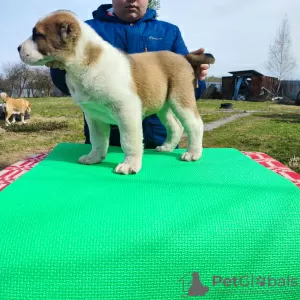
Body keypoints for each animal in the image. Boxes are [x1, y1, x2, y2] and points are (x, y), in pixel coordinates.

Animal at [18, 10, 216, 175]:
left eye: (38, 35)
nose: (18, 48)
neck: (83, 62)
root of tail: (182, 56)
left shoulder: (127, 111)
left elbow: (129, 141)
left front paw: (129, 165)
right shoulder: (93, 116)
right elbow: (98, 140)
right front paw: (94, 158)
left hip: (180, 99)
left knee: (194, 125)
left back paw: (193, 153)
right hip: (163, 105)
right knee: (175, 126)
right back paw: (166, 147)